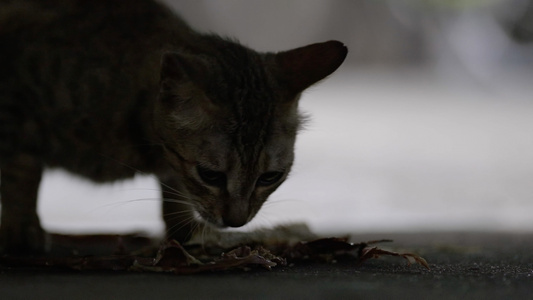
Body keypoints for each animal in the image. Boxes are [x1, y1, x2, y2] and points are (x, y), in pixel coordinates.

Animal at [0, 0, 348, 254]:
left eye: (270, 177)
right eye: (211, 175)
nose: (235, 222)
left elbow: (175, 189)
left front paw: (184, 228)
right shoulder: (16, 97)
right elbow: (23, 169)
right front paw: (22, 227)